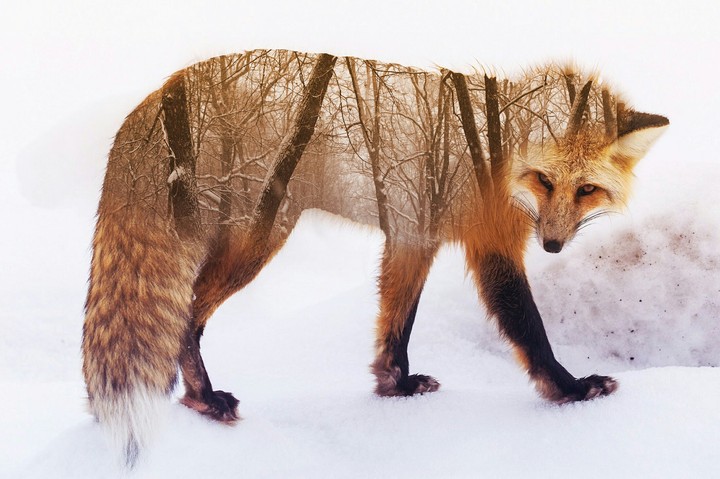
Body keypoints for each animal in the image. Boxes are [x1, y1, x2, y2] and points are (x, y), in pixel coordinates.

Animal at [82, 49, 668, 466]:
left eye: (587, 190)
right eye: (543, 180)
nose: (551, 246)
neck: (496, 148)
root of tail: (160, 92)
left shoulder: (414, 234)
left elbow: (395, 325)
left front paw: (395, 387)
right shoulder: (490, 245)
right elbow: (528, 328)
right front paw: (570, 391)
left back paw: (195, 400)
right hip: (257, 240)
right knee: (187, 320)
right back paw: (203, 400)